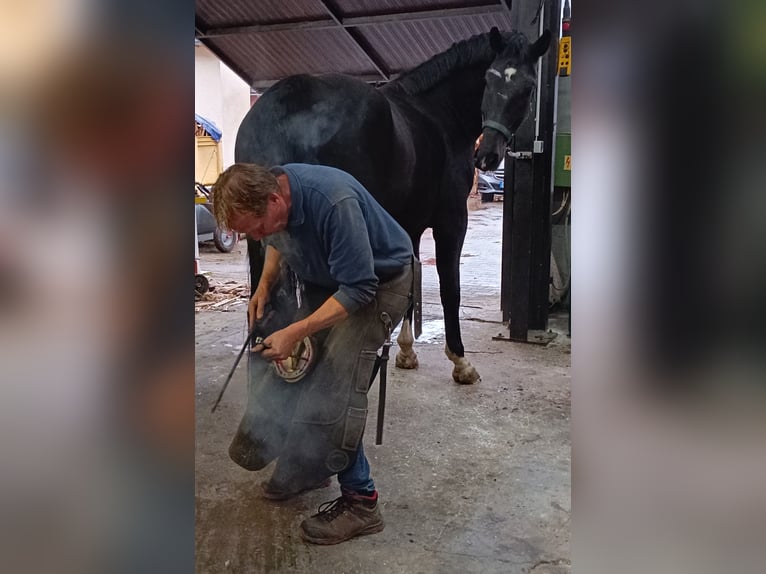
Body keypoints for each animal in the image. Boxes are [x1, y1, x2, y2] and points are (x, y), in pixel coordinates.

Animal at [237, 28, 548, 388]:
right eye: (488, 78)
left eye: (527, 87)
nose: (487, 156)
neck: (439, 115)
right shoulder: (452, 222)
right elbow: (449, 289)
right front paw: (460, 361)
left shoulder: (407, 224)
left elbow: (412, 281)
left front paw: (406, 352)